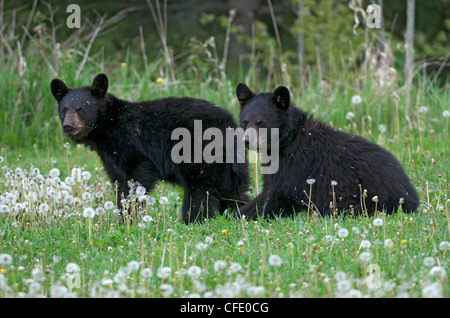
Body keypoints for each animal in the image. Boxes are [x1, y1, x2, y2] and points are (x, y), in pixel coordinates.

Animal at [52, 74, 250, 224]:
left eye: (81, 109)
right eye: (64, 109)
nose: (69, 126)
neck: (108, 126)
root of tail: (229, 124)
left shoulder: (131, 144)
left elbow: (136, 178)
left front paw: (129, 217)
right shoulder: (109, 158)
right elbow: (118, 183)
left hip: (199, 151)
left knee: (200, 189)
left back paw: (191, 220)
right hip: (233, 164)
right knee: (235, 190)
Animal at [237, 82, 420, 219]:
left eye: (261, 122)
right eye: (245, 122)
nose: (246, 141)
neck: (286, 140)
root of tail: (410, 195)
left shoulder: (294, 165)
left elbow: (277, 195)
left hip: (357, 197)